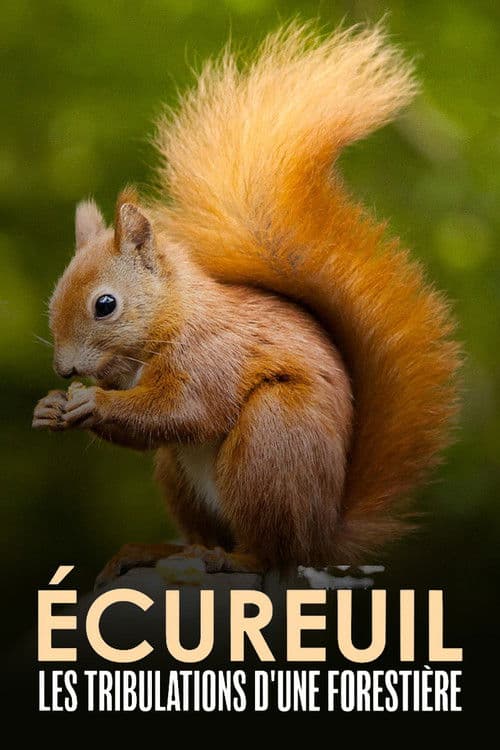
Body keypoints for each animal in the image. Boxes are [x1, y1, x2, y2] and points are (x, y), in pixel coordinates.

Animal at [32, 23, 460, 585]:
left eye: (105, 305)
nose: (64, 370)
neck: (172, 318)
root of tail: (322, 536)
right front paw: (49, 407)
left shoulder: (213, 356)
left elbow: (184, 410)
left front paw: (92, 402)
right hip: (180, 476)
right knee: (203, 531)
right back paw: (156, 551)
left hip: (269, 441)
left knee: (270, 552)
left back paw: (236, 557)